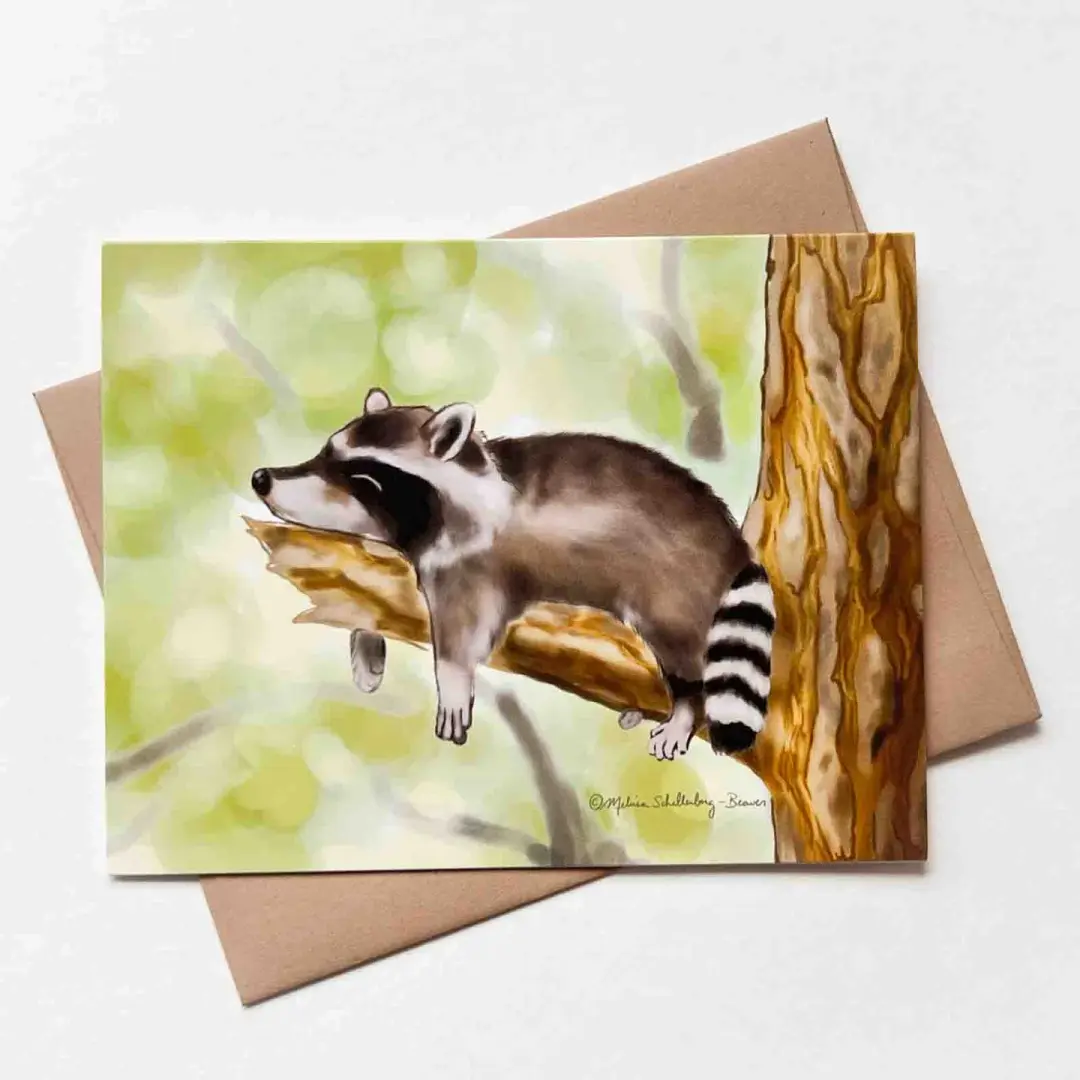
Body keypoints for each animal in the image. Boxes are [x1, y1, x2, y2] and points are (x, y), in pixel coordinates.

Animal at [251, 388, 775, 759]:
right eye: (325, 453)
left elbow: (463, 631)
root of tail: (730, 538)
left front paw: (453, 679)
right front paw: (366, 641)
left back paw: (685, 706)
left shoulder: (477, 565)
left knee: (684, 651)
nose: (261, 478)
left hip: (673, 582)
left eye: (360, 477)